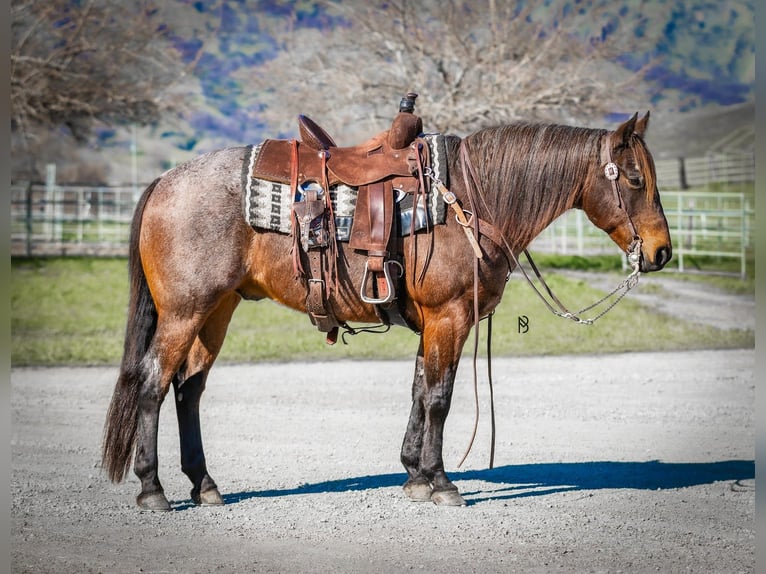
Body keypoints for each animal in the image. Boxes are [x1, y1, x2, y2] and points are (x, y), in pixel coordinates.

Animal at [102, 111, 672, 511]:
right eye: (635, 180)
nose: (662, 251)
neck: (472, 199)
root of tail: (163, 181)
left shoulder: (434, 324)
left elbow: (420, 389)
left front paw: (414, 474)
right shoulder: (449, 318)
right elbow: (439, 397)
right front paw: (441, 482)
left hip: (216, 312)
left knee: (188, 389)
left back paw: (204, 485)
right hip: (183, 313)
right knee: (153, 384)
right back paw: (152, 489)